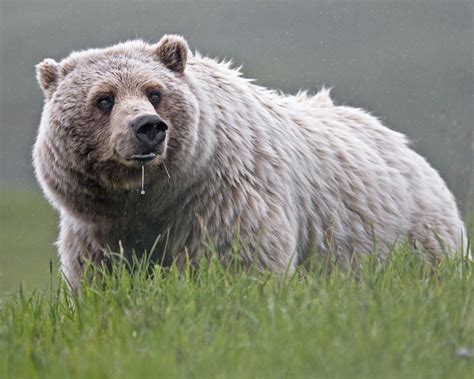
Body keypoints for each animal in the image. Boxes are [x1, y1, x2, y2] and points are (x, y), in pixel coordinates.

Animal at [32, 35, 466, 290]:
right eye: (104, 99)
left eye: (154, 93)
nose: (148, 127)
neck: (154, 195)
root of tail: (407, 147)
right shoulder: (101, 229)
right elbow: (105, 278)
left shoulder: (222, 197)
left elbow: (240, 262)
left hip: (409, 236)